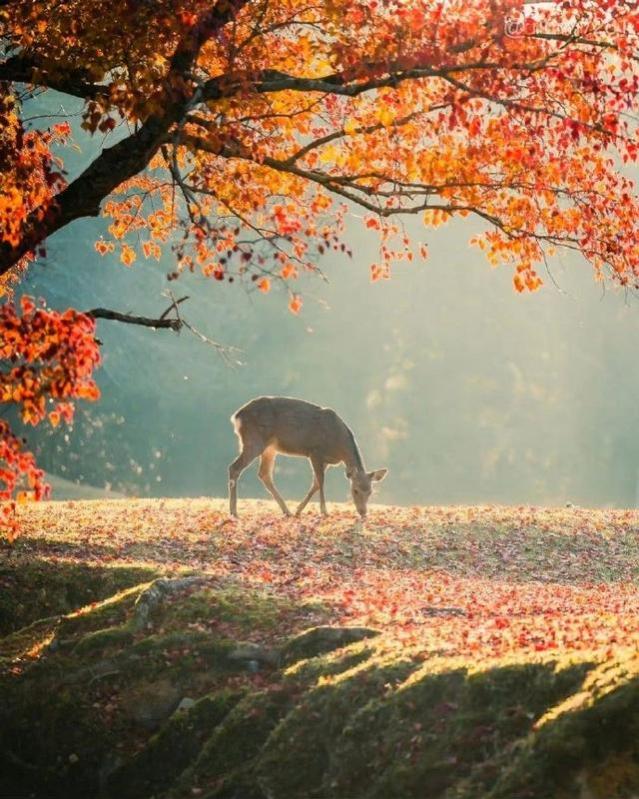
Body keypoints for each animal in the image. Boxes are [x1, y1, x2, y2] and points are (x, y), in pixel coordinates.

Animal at [230, 396, 390, 520]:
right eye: (355, 490)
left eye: (370, 492)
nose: (363, 512)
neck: (339, 444)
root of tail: (237, 416)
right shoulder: (315, 451)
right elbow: (321, 481)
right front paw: (324, 511)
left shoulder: (326, 461)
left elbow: (316, 484)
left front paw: (298, 510)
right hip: (254, 440)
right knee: (235, 467)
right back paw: (233, 512)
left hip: (270, 448)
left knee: (264, 474)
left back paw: (287, 511)